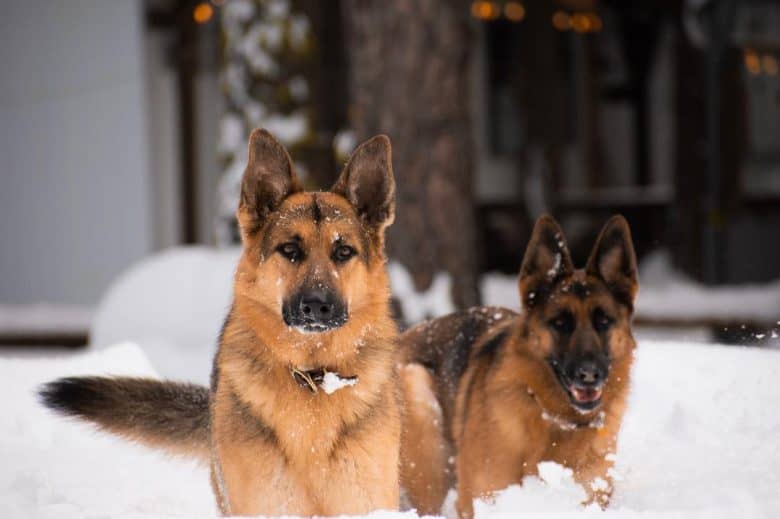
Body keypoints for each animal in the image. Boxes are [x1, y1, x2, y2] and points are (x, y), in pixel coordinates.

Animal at [400, 216, 636, 519]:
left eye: (604, 321)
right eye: (560, 323)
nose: (589, 375)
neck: (555, 418)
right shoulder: (483, 498)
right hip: (420, 404)